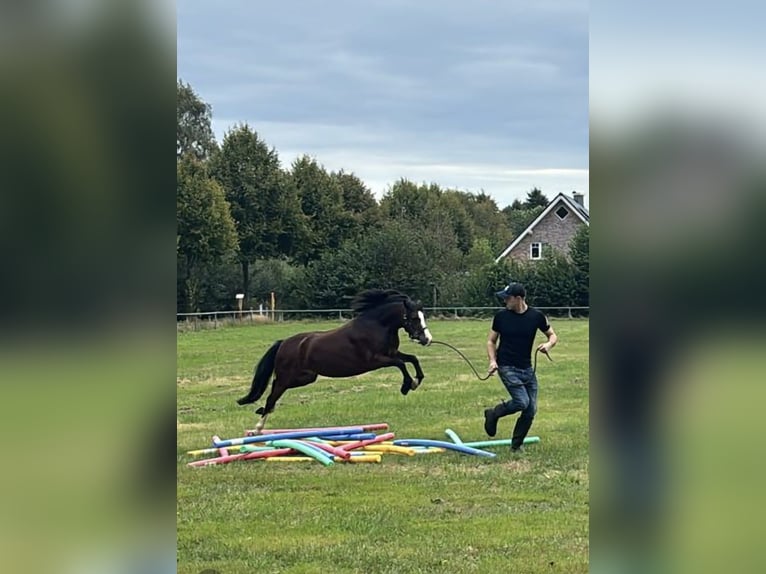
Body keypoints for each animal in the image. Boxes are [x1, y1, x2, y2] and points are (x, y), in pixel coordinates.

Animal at [237, 290, 432, 434]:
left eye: (422, 316)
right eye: (414, 318)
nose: (427, 339)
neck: (377, 326)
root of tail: (284, 343)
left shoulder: (391, 353)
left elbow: (412, 359)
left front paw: (416, 381)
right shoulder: (377, 360)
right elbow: (401, 364)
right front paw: (407, 386)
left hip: (306, 378)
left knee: (273, 394)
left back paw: (261, 412)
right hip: (287, 378)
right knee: (272, 396)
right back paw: (257, 428)